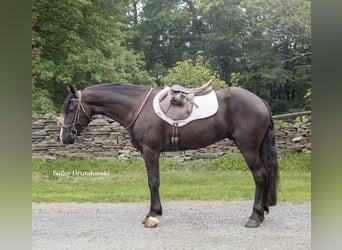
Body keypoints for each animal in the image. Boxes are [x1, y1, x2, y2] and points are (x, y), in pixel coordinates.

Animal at [60, 83, 278, 228]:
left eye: (71, 107)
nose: (64, 137)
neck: (137, 106)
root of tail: (259, 101)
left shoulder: (151, 150)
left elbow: (153, 181)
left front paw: (153, 215)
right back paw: (261, 214)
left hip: (248, 148)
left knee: (260, 176)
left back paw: (254, 217)